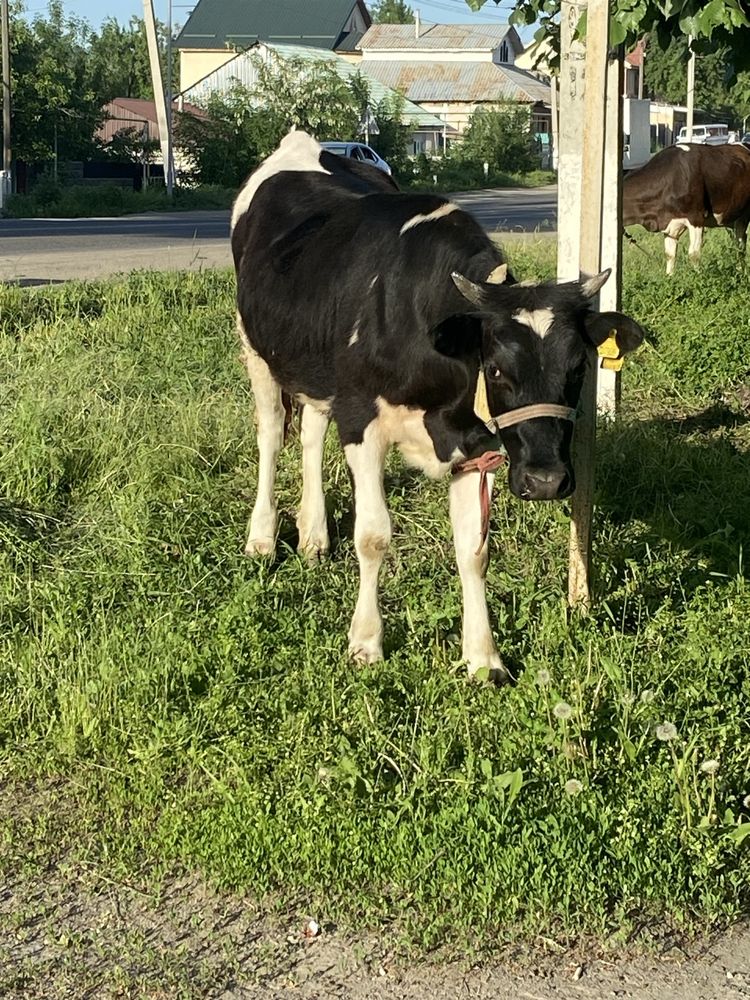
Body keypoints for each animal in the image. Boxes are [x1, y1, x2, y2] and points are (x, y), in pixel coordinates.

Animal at [234, 131, 648, 680]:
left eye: (578, 367)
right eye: (496, 369)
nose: (545, 482)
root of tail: (301, 141)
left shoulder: (477, 444)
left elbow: (474, 549)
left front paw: (483, 657)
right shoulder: (361, 420)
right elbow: (373, 536)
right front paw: (366, 642)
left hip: (315, 369)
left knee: (311, 433)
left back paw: (314, 536)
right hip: (256, 349)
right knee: (271, 432)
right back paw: (262, 537)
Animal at [624, 141, 750, 274]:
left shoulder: (696, 217)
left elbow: (694, 254)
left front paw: (697, 276)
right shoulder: (669, 224)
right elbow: (670, 254)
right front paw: (669, 276)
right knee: (740, 242)